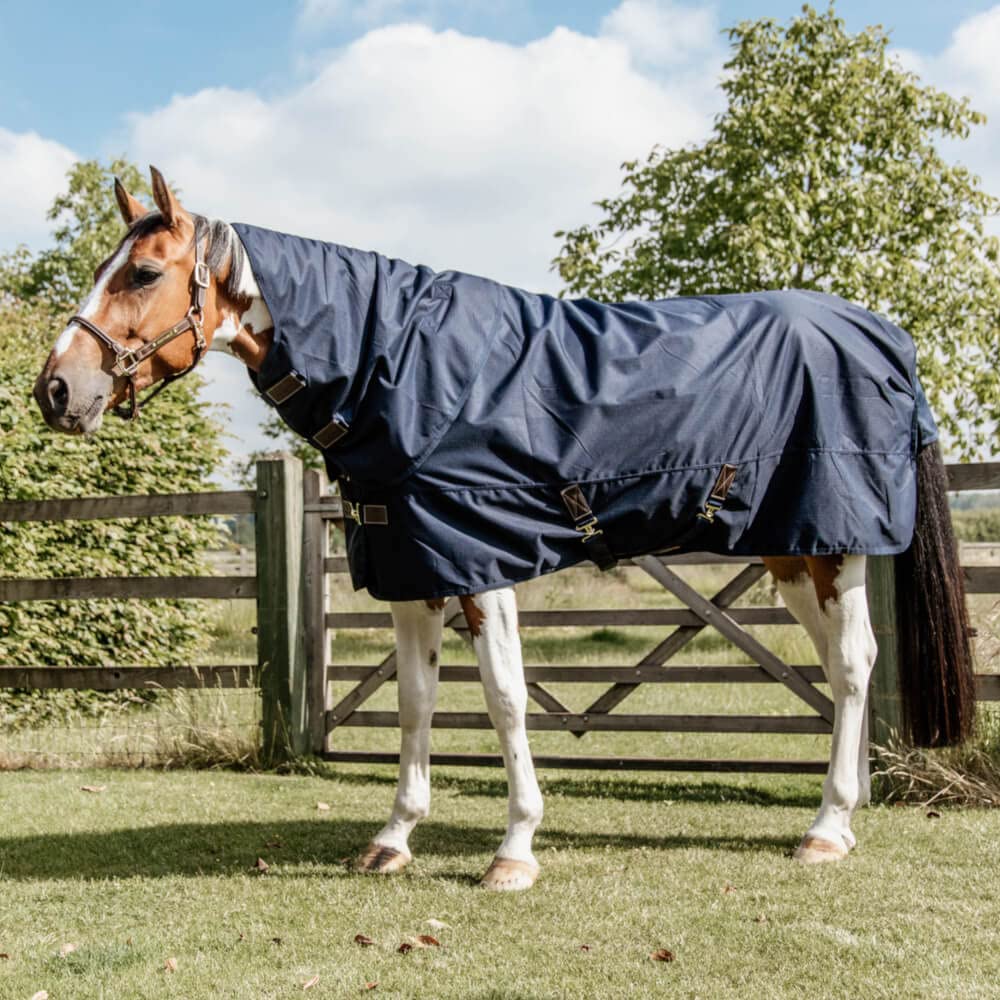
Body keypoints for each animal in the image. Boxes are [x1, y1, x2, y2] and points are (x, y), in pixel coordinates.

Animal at [34, 167, 975, 891]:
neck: (400, 370)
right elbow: (416, 703)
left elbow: (505, 700)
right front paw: (393, 839)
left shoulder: (482, 563)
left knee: (852, 664)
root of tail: (883, 335)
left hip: (837, 544)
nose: (56, 391)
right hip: (789, 549)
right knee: (840, 666)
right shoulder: (411, 568)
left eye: (142, 274)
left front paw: (515, 848)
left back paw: (825, 828)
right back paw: (843, 816)